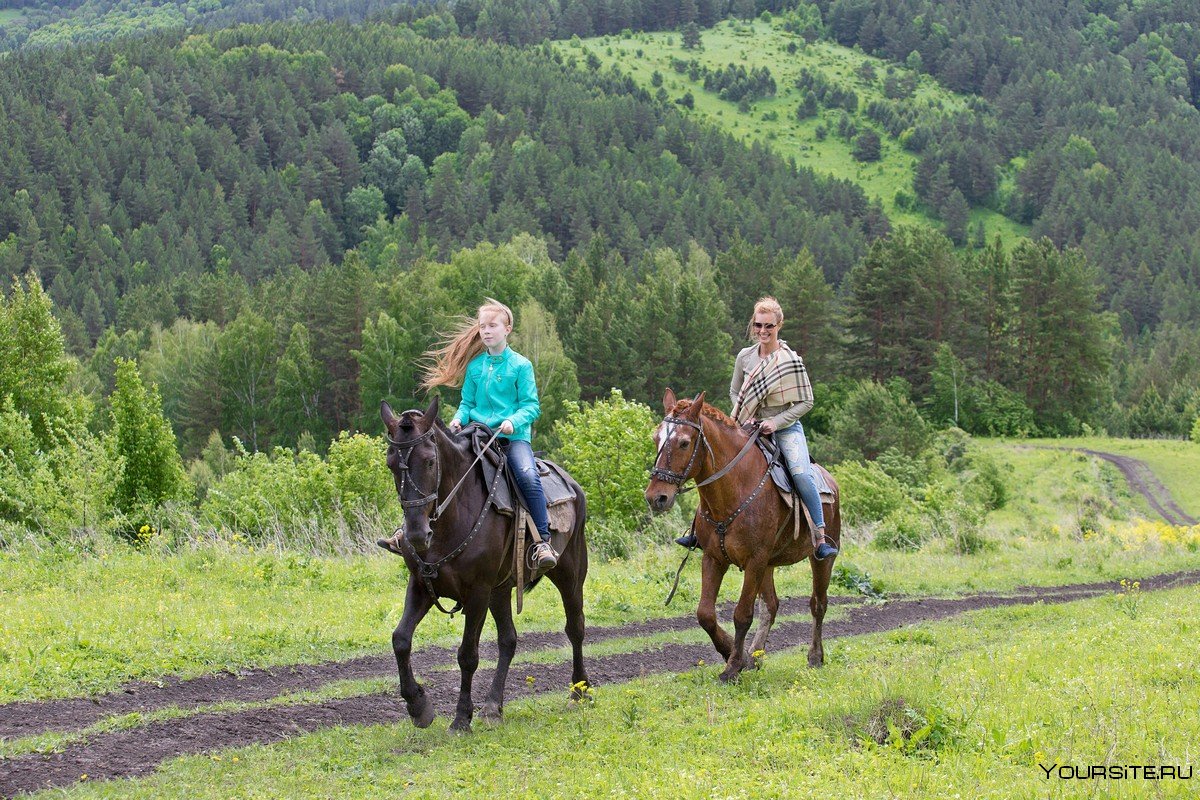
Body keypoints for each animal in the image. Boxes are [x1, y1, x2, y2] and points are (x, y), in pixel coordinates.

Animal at [381, 395, 588, 734]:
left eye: (429, 461)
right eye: (390, 464)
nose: (417, 534)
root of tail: (572, 484)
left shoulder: (476, 593)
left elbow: (467, 655)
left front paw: (461, 718)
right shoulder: (421, 586)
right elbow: (400, 640)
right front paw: (418, 706)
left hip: (570, 573)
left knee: (576, 628)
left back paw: (580, 692)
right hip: (500, 590)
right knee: (508, 640)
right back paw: (493, 706)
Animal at [648, 388, 835, 681]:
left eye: (684, 443)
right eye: (656, 438)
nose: (656, 497)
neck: (733, 490)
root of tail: (831, 481)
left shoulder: (754, 561)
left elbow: (742, 614)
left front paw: (733, 667)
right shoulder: (714, 558)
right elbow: (705, 614)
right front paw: (736, 655)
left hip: (820, 559)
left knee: (818, 603)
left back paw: (814, 657)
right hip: (769, 565)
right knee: (771, 606)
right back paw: (756, 655)